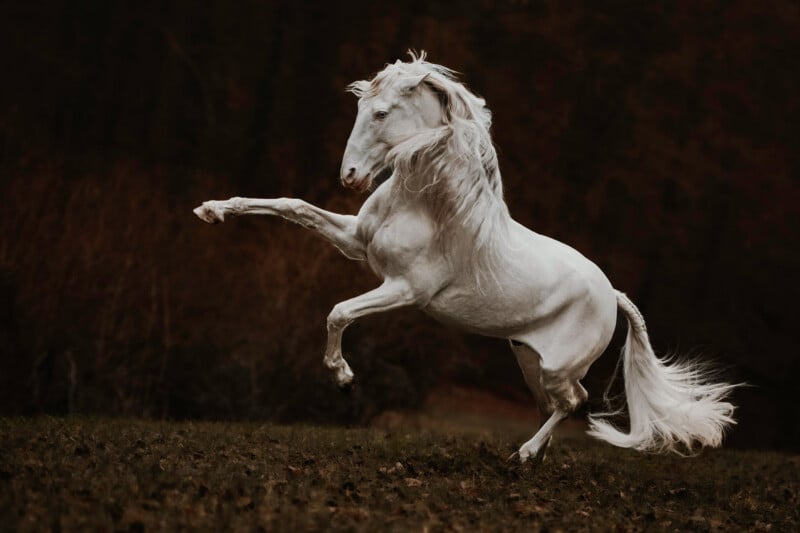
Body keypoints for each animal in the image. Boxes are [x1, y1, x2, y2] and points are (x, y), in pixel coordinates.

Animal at [194, 52, 737, 463]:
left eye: (381, 113)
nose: (349, 176)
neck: (426, 203)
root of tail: (612, 293)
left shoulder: (405, 290)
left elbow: (339, 311)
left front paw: (344, 380)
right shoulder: (355, 243)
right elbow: (292, 207)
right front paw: (212, 210)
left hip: (558, 366)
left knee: (576, 402)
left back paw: (524, 456)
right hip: (528, 360)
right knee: (555, 405)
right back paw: (531, 458)